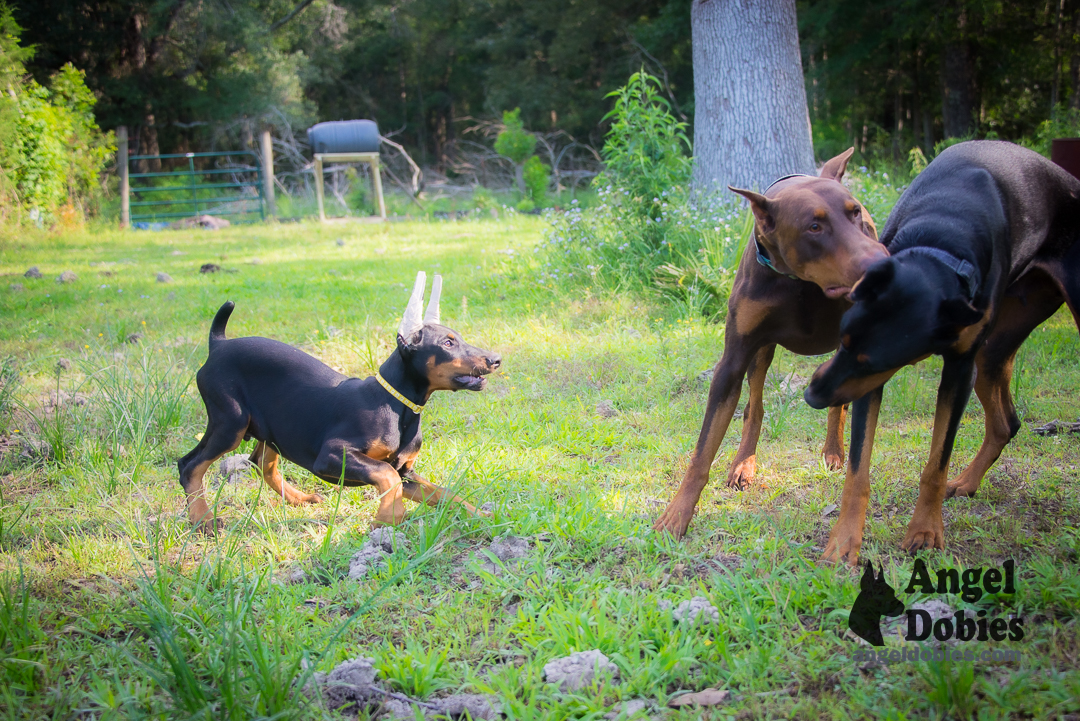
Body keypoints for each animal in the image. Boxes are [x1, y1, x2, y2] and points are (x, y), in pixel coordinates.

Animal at [177, 273, 501, 533]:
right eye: (447, 343)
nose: (496, 359)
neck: (397, 405)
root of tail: (218, 344)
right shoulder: (332, 455)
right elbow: (387, 478)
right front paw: (387, 519)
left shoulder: (405, 470)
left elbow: (441, 492)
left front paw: (482, 516)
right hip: (230, 422)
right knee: (189, 465)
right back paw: (203, 521)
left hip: (274, 427)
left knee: (260, 463)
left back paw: (300, 499)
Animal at [648, 148, 885, 537]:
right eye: (814, 226)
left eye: (856, 213)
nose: (883, 263)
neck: (801, 283)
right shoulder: (734, 357)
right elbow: (702, 451)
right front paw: (676, 515)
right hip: (761, 351)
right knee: (754, 405)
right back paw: (743, 464)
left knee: (837, 404)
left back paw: (833, 451)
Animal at [807, 140, 1080, 565]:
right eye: (844, 338)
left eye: (876, 361)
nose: (811, 395)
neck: (940, 241)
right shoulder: (868, 383)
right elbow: (858, 469)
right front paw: (845, 540)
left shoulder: (957, 369)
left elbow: (936, 462)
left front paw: (924, 531)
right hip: (994, 350)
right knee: (1007, 422)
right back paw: (966, 482)